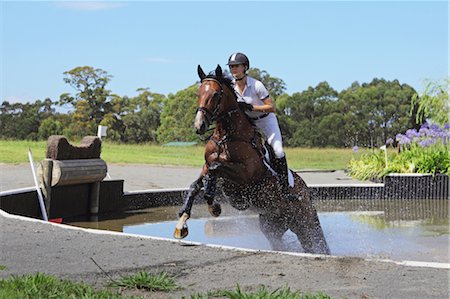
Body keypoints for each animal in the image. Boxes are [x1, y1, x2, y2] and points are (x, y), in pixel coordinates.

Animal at [174, 63, 328, 255]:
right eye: (199, 93)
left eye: (216, 94)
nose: (199, 125)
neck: (226, 136)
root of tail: (305, 190)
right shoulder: (206, 166)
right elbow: (196, 185)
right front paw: (182, 223)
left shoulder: (245, 174)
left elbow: (216, 169)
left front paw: (213, 205)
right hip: (273, 225)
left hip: (305, 221)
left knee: (315, 243)